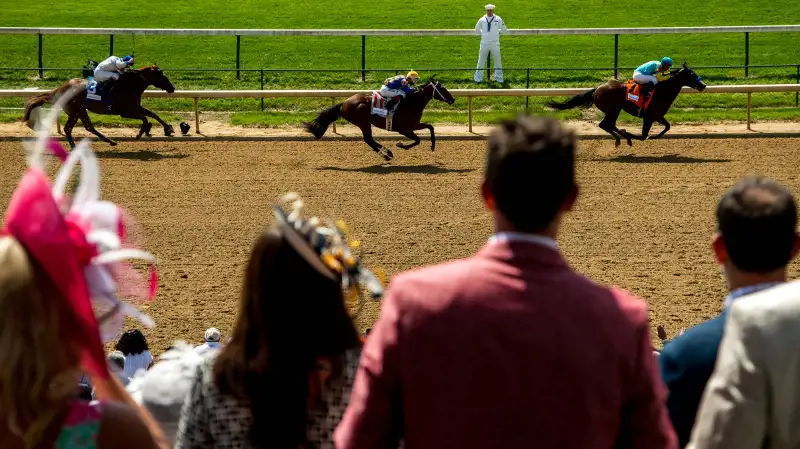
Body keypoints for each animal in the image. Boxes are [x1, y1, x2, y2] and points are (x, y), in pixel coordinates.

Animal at [22, 65, 177, 147]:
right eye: (162, 76)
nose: (172, 88)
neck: (130, 85)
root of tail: (58, 90)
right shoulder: (125, 111)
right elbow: (145, 118)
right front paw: (139, 134)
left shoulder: (135, 107)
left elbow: (153, 114)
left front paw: (169, 128)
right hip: (77, 110)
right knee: (74, 128)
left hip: (78, 111)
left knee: (84, 127)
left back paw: (109, 141)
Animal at [304, 79, 456, 161]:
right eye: (442, 88)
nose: (453, 99)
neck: (411, 103)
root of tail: (344, 103)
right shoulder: (404, 129)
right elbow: (417, 140)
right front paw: (400, 145)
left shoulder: (414, 125)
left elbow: (431, 127)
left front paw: (433, 146)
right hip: (363, 122)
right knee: (368, 140)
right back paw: (386, 154)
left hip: (364, 123)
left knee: (369, 140)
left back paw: (386, 152)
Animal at [544, 62, 708, 146]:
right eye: (691, 74)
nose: (703, 85)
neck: (663, 91)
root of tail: (597, 89)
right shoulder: (649, 117)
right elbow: (643, 136)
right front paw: (636, 136)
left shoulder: (657, 115)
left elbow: (667, 127)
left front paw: (654, 136)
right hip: (613, 109)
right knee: (605, 125)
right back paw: (621, 138)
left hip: (614, 110)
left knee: (609, 125)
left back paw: (621, 137)